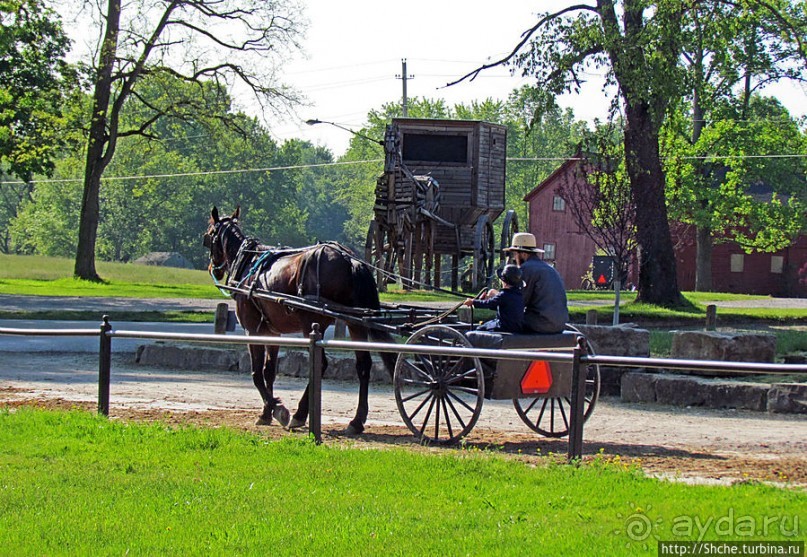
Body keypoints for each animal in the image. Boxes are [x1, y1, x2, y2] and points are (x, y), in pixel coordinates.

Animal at [205, 205, 398, 434]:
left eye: (209, 235)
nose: (213, 268)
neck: (249, 265)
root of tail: (350, 260)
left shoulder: (252, 330)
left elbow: (256, 374)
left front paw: (279, 410)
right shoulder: (272, 332)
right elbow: (269, 372)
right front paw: (266, 413)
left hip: (311, 324)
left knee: (321, 364)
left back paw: (299, 415)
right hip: (354, 322)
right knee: (363, 366)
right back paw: (356, 421)